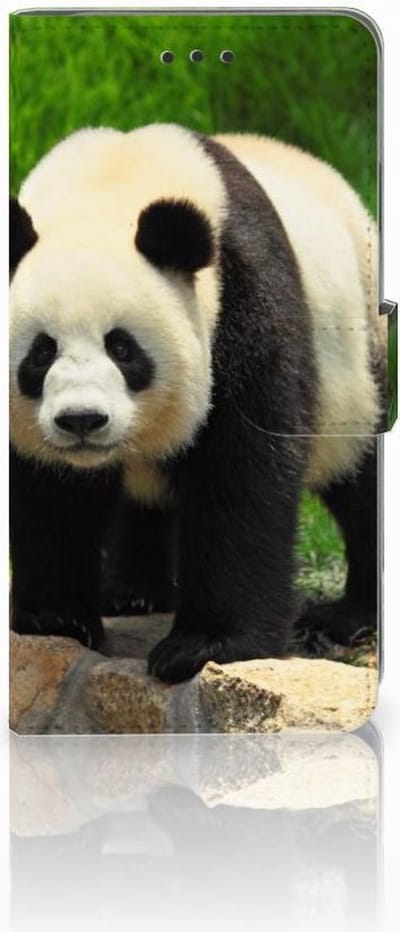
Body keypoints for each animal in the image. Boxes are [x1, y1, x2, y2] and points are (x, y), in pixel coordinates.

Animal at [9, 123, 386, 683]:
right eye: (40, 353)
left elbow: (242, 471)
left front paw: (206, 646)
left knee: (358, 474)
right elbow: (49, 489)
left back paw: (347, 616)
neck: (109, 187)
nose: (82, 420)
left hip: (355, 362)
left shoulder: (242, 297)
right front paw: (54, 616)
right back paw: (132, 592)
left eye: (122, 348)